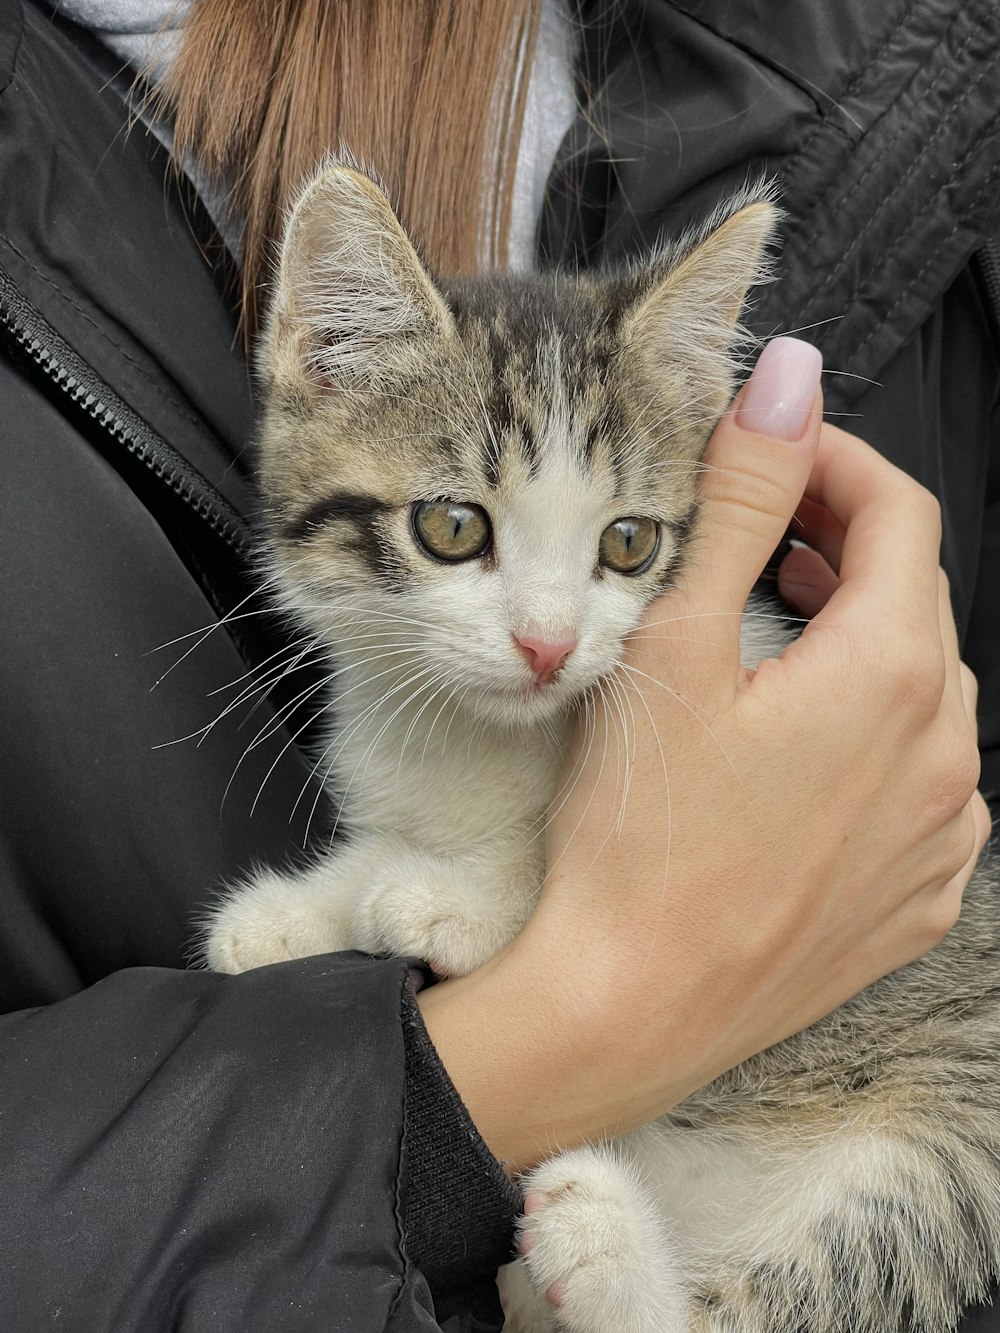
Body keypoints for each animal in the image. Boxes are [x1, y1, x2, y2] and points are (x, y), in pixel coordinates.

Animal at [204, 166, 1000, 1333]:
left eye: (628, 542)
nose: (547, 644)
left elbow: (543, 856)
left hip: (945, 1143)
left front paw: (453, 898)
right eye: (453, 527)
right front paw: (288, 914)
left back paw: (602, 1242)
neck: (480, 734)